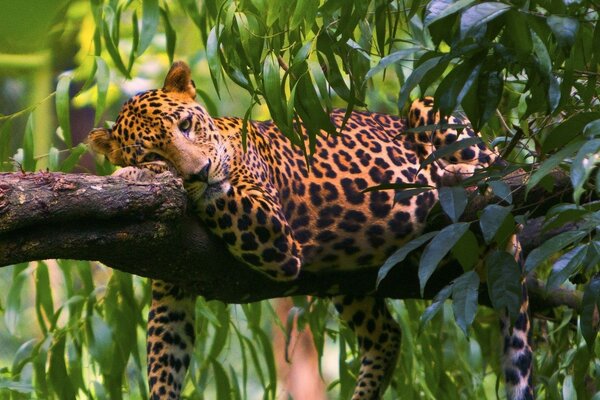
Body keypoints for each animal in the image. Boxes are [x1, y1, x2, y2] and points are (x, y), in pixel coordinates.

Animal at [90, 61, 536, 398]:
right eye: (152, 150)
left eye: (185, 124)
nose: (201, 172)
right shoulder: (173, 281)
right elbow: (165, 359)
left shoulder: (271, 231)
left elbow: (220, 197)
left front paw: (132, 174)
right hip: (348, 275)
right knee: (387, 335)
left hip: (429, 109)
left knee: (498, 165)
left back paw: (455, 174)